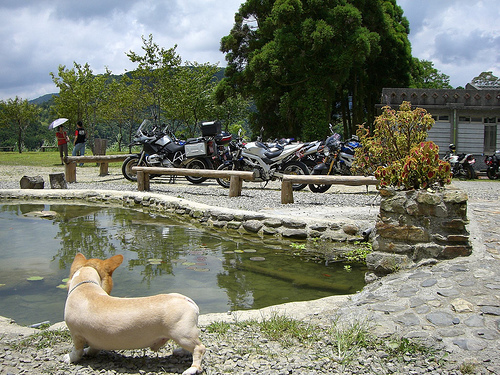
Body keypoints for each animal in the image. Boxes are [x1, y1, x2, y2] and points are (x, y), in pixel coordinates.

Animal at [64, 254, 205, 374]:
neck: (85, 284)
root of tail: (188, 301)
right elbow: (93, 348)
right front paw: (88, 351)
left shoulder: (76, 334)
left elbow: (77, 350)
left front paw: (69, 357)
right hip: (183, 336)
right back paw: (180, 352)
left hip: (182, 334)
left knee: (199, 348)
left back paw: (192, 369)